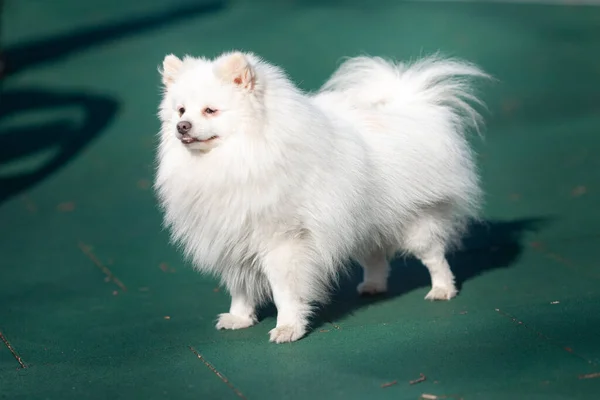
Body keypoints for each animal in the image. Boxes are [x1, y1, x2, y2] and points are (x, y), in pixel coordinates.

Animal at [155, 50, 488, 344]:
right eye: (181, 110)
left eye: (210, 110)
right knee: (375, 256)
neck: (238, 157)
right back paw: (373, 285)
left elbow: (284, 291)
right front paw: (239, 317)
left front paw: (288, 327)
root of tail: (409, 108)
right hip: (362, 223)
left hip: (416, 224)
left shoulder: (282, 244)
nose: (181, 126)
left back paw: (443, 289)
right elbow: (240, 288)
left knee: (434, 256)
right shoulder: (231, 242)